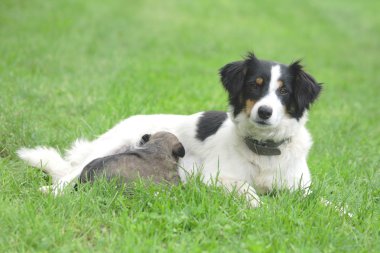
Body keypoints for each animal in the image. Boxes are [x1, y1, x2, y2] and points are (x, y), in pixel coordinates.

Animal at [17, 52, 320, 207]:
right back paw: (51, 192)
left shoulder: (301, 189)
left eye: (284, 91)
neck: (264, 150)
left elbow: (324, 204)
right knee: (68, 175)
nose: (265, 112)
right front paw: (259, 206)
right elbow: (250, 192)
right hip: (107, 149)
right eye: (255, 85)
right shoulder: (215, 177)